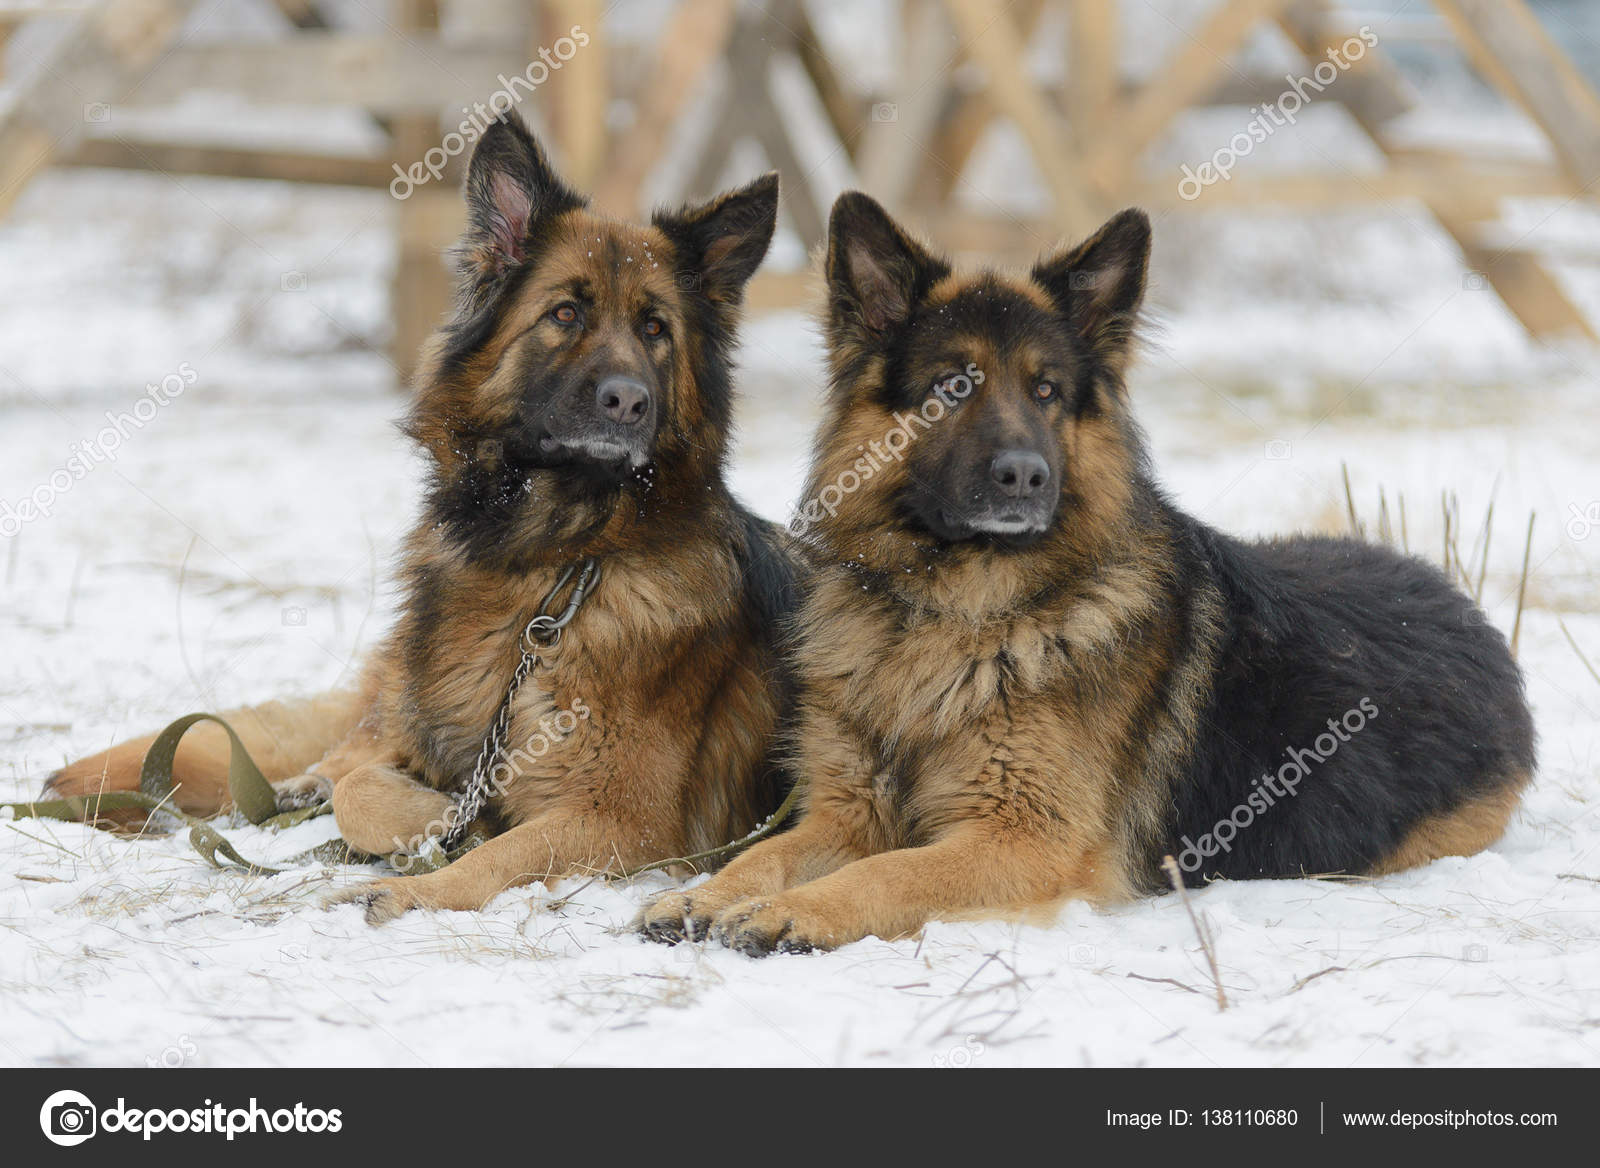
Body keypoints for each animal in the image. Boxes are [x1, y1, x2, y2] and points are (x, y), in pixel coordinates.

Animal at [43, 113, 800, 921]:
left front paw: (426, 880)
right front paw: (437, 821)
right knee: (349, 748)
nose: (629, 401)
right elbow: (365, 789)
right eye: (565, 314)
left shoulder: (626, 818)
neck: (550, 562)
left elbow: (501, 848)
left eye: (656, 329)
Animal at [640, 193, 1536, 953]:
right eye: (951, 385)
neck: (950, 616)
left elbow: (888, 873)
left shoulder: (1022, 837)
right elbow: (766, 852)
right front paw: (702, 894)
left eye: (1047, 391)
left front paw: (796, 911)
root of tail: (1465, 608)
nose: (1025, 476)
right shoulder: (848, 811)